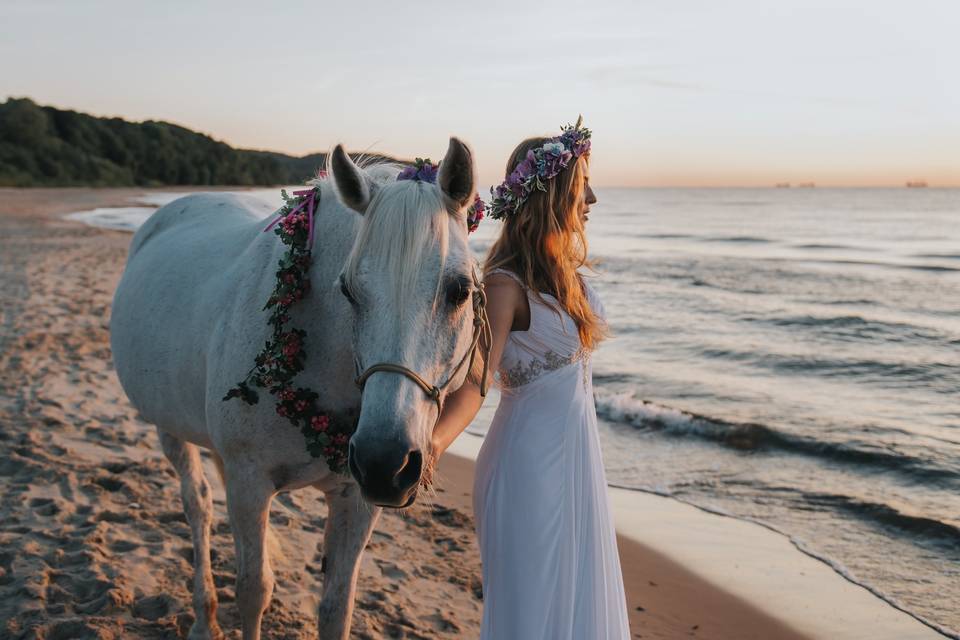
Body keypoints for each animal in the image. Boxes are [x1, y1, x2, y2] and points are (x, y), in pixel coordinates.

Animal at [110, 140, 480, 640]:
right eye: (347, 290)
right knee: (198, 507)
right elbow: (253, 590)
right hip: (169, 431)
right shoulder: (249, 482)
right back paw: (204, 618)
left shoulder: (355, 502)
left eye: (459, 290)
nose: (385, 463)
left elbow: (336, 608)